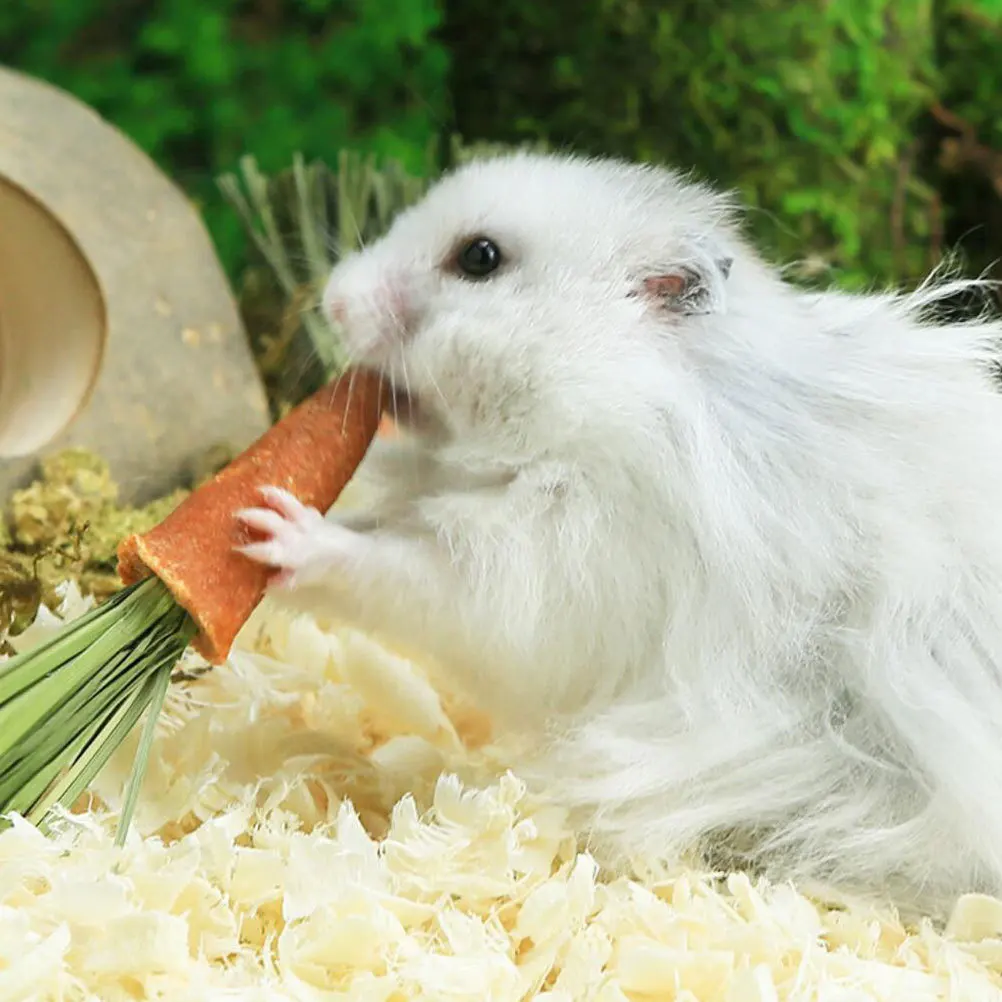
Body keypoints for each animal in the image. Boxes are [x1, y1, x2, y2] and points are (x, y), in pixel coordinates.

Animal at [236, 150, 1002, 917]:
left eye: (480, 258)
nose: (334, 299)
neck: (604, 400)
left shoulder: (546, 576)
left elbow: (397, 574)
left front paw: (274, 534)